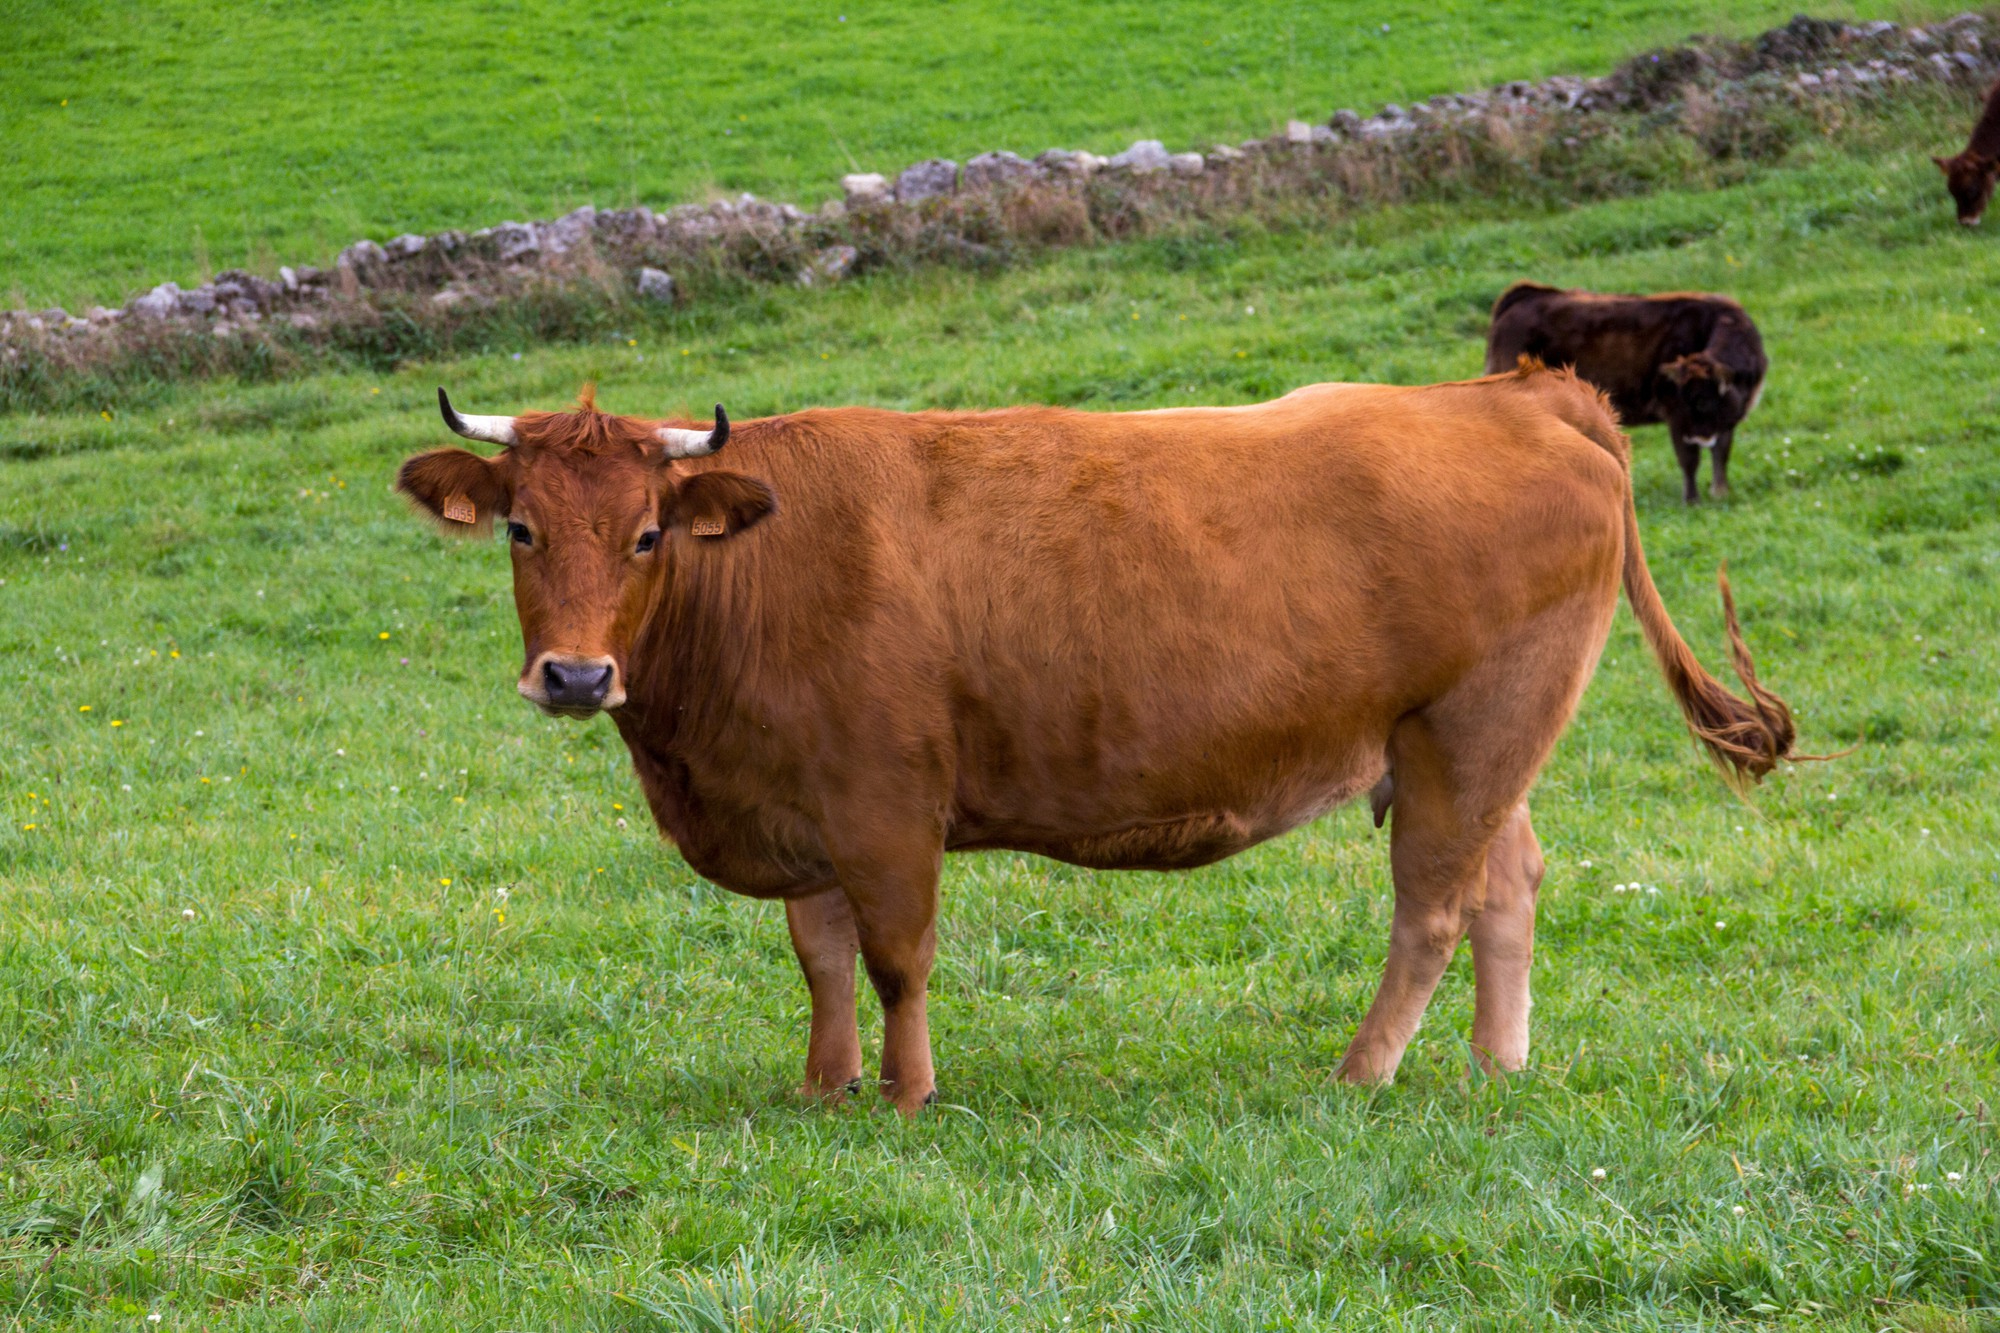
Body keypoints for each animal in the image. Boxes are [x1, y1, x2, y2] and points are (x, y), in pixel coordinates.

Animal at [395, 368, 1805, 1115]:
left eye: (646, 535)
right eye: (520, 528)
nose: (575, 673)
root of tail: (1514, 393)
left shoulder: (885, 805)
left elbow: (897, 957)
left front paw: (905, 1097)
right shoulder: (806, 811)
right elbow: (822, 957)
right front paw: (824, 1087)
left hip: (1468, 734)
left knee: (1433, 910)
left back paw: (1359, 1072)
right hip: (1475, 750)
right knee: (1507, 885)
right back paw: (1491, 1068)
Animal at [1483, 283, 1768, 505]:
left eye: (1703, 400)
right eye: (1686, 397)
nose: (1696, 436)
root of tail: (1526, 296)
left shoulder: (1725, 423)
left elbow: (1721, 453)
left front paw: (1720, 492)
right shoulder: (1675, 416)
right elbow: (1689, 460)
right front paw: (1692, 500)